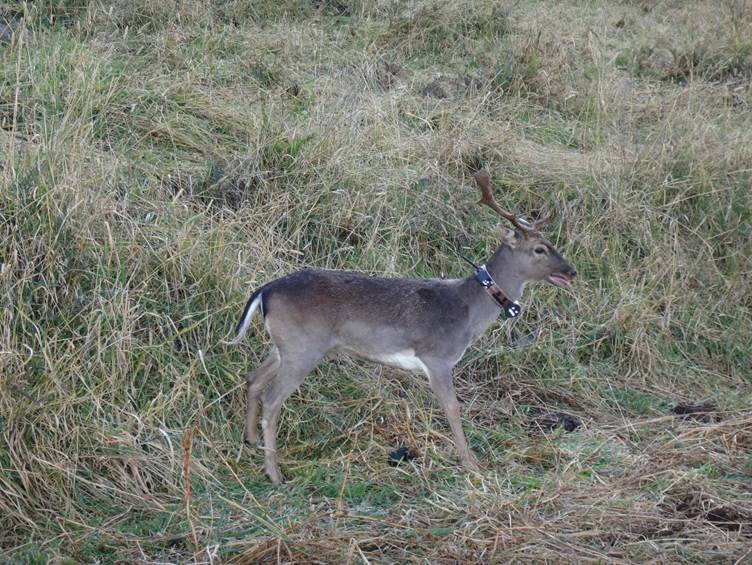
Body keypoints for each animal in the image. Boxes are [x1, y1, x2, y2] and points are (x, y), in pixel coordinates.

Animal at [227, 170, 577, 484]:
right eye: (540, 249)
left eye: (552, 243)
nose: (571, 271)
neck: (468, 311)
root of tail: (265, 291)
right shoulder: (437, 356)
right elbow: (452, 408)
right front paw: (472, 464)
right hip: (303, 347)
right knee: (273, 398)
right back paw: (274, 473)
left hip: (285, 344)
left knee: (253, 379)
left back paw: (250, 440)